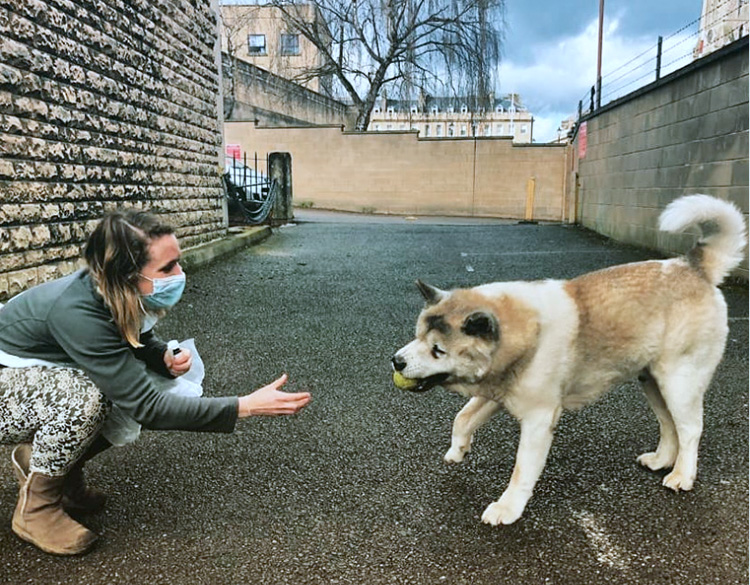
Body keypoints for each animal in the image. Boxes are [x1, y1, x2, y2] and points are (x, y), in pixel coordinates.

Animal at [394, 195, 748, 524]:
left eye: (438, 350)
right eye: (417, 335)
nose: (396, 361)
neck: (525, 332)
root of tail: (693, 267)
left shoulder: (538, 420)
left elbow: (522, 470)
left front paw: (508, 508)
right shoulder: (496, 392)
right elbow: (463, 418)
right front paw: (458, 449)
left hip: (678, 382)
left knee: (690, 429)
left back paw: (682, 475)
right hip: (653, 382)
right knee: (669, 424)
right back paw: (662, 460)